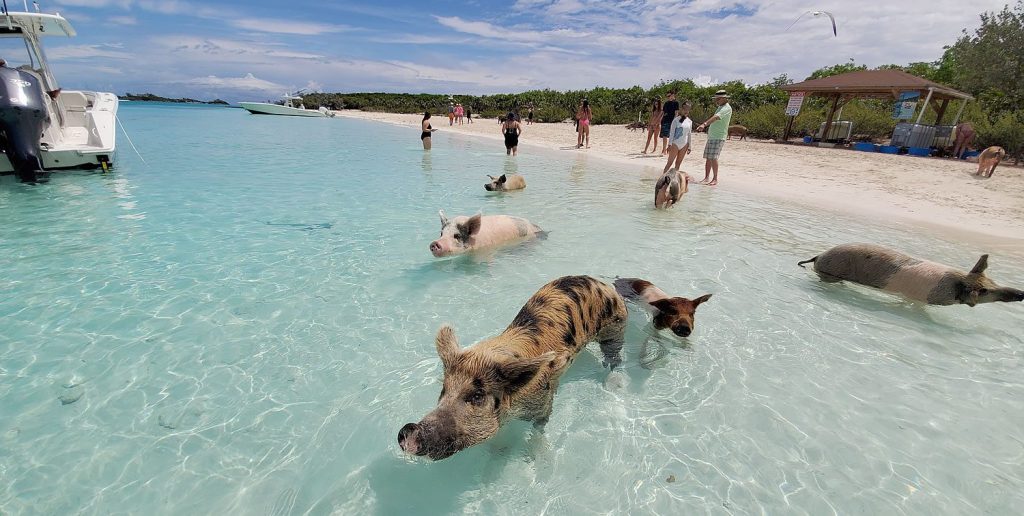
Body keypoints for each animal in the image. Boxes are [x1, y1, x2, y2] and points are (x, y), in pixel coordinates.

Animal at [397, 276, 622, 460]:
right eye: (444, 390)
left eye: (477, 396)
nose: (409, 430)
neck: (513, 408)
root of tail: (602, 283)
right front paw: (498, 452)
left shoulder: (544, 402)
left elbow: (538, 430)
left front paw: (535, 459)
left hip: (614, 327)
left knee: (614, 359)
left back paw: (613, 386)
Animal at [798, 242, 1024, 307]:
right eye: (984, 291)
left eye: (993, 281)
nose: (1021, 293)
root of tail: (818, 256)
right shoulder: (916, 299)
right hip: (831, 273)